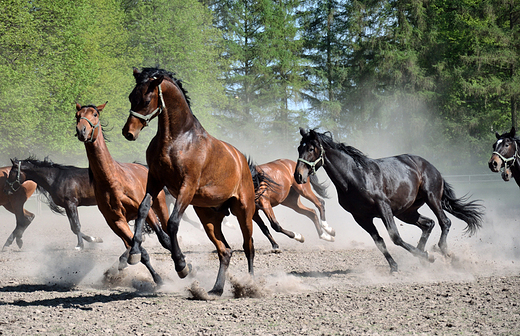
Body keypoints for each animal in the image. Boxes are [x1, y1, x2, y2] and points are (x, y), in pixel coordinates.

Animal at [74, 103, 171, 286]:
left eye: (95, 114)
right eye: (77, 115)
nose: (81, 130)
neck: (112, 181)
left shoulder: (146, 211)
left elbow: (164, 239)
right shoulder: (117, 221)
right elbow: (140, 252)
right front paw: (158, 279)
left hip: (160, 205)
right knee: (131, 244)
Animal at [122, 67, 260, 296]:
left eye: (147, 99)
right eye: (131, 97)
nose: (128, 132)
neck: (176, 139)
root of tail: (241, 160)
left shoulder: (187, 186)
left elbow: (172, 223)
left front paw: (181, 266)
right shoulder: (155, 180)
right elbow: (143, 209)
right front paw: (133, 253)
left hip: (244, 210)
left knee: (248, 246)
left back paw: (251, 285)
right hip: (208, 217)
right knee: (225, 251)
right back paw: (216, 289)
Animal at [292, 129, 484, 272]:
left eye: (311, 149)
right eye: (299, 148)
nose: (298, 176)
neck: (355, 177)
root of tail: (430, 165)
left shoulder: (383, 207)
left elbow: (395, 237)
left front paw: (428, 256)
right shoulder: (361, 217)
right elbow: (379, 242)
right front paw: (394, 266)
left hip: (432, 198)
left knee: (445, 222)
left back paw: (441, 251)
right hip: (406, 212)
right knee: (428, 224)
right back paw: (422, 255)